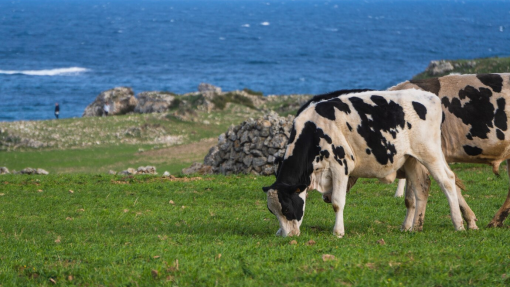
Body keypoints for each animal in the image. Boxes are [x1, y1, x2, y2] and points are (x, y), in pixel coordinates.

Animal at [264, 90, 464, 238]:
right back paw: (415, 227)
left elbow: (337, 202)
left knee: (447, 181)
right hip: (411, 159)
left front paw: (338, 232)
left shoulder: (340, 165)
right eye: (272, 211)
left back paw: (459, 224)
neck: (314, 129)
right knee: (420, 187)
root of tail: (430, 96)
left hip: (429, 153)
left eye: (286, 208)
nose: (287, 236)